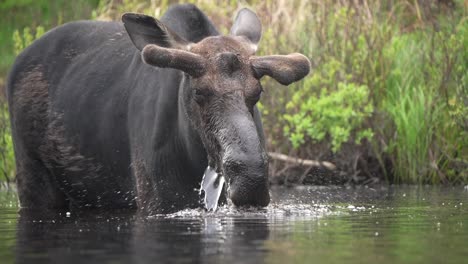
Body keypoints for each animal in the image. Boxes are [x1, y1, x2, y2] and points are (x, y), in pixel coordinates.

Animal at [6, 4, 310, 213]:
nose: (250, 179)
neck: (191, 152)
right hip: (32, 177)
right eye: (198, 92)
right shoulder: (156, 200)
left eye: (257, 93)